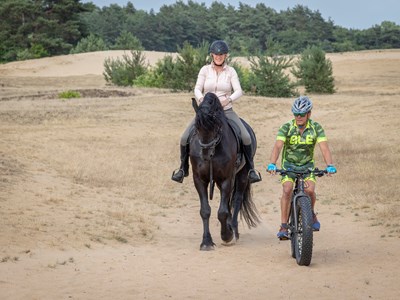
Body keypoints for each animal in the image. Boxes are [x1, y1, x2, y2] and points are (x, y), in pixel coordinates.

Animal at [190, 92, 260, 251]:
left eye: (217, 127)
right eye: (197, 127)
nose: (205, 154)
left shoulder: (226, 179)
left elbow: (222, 212)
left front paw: (227, 236)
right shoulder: (199, 180)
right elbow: (205, 210)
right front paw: (206, 242)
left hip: (241, 176)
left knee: (236, 200)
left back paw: (233, 230)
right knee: (228, 202)